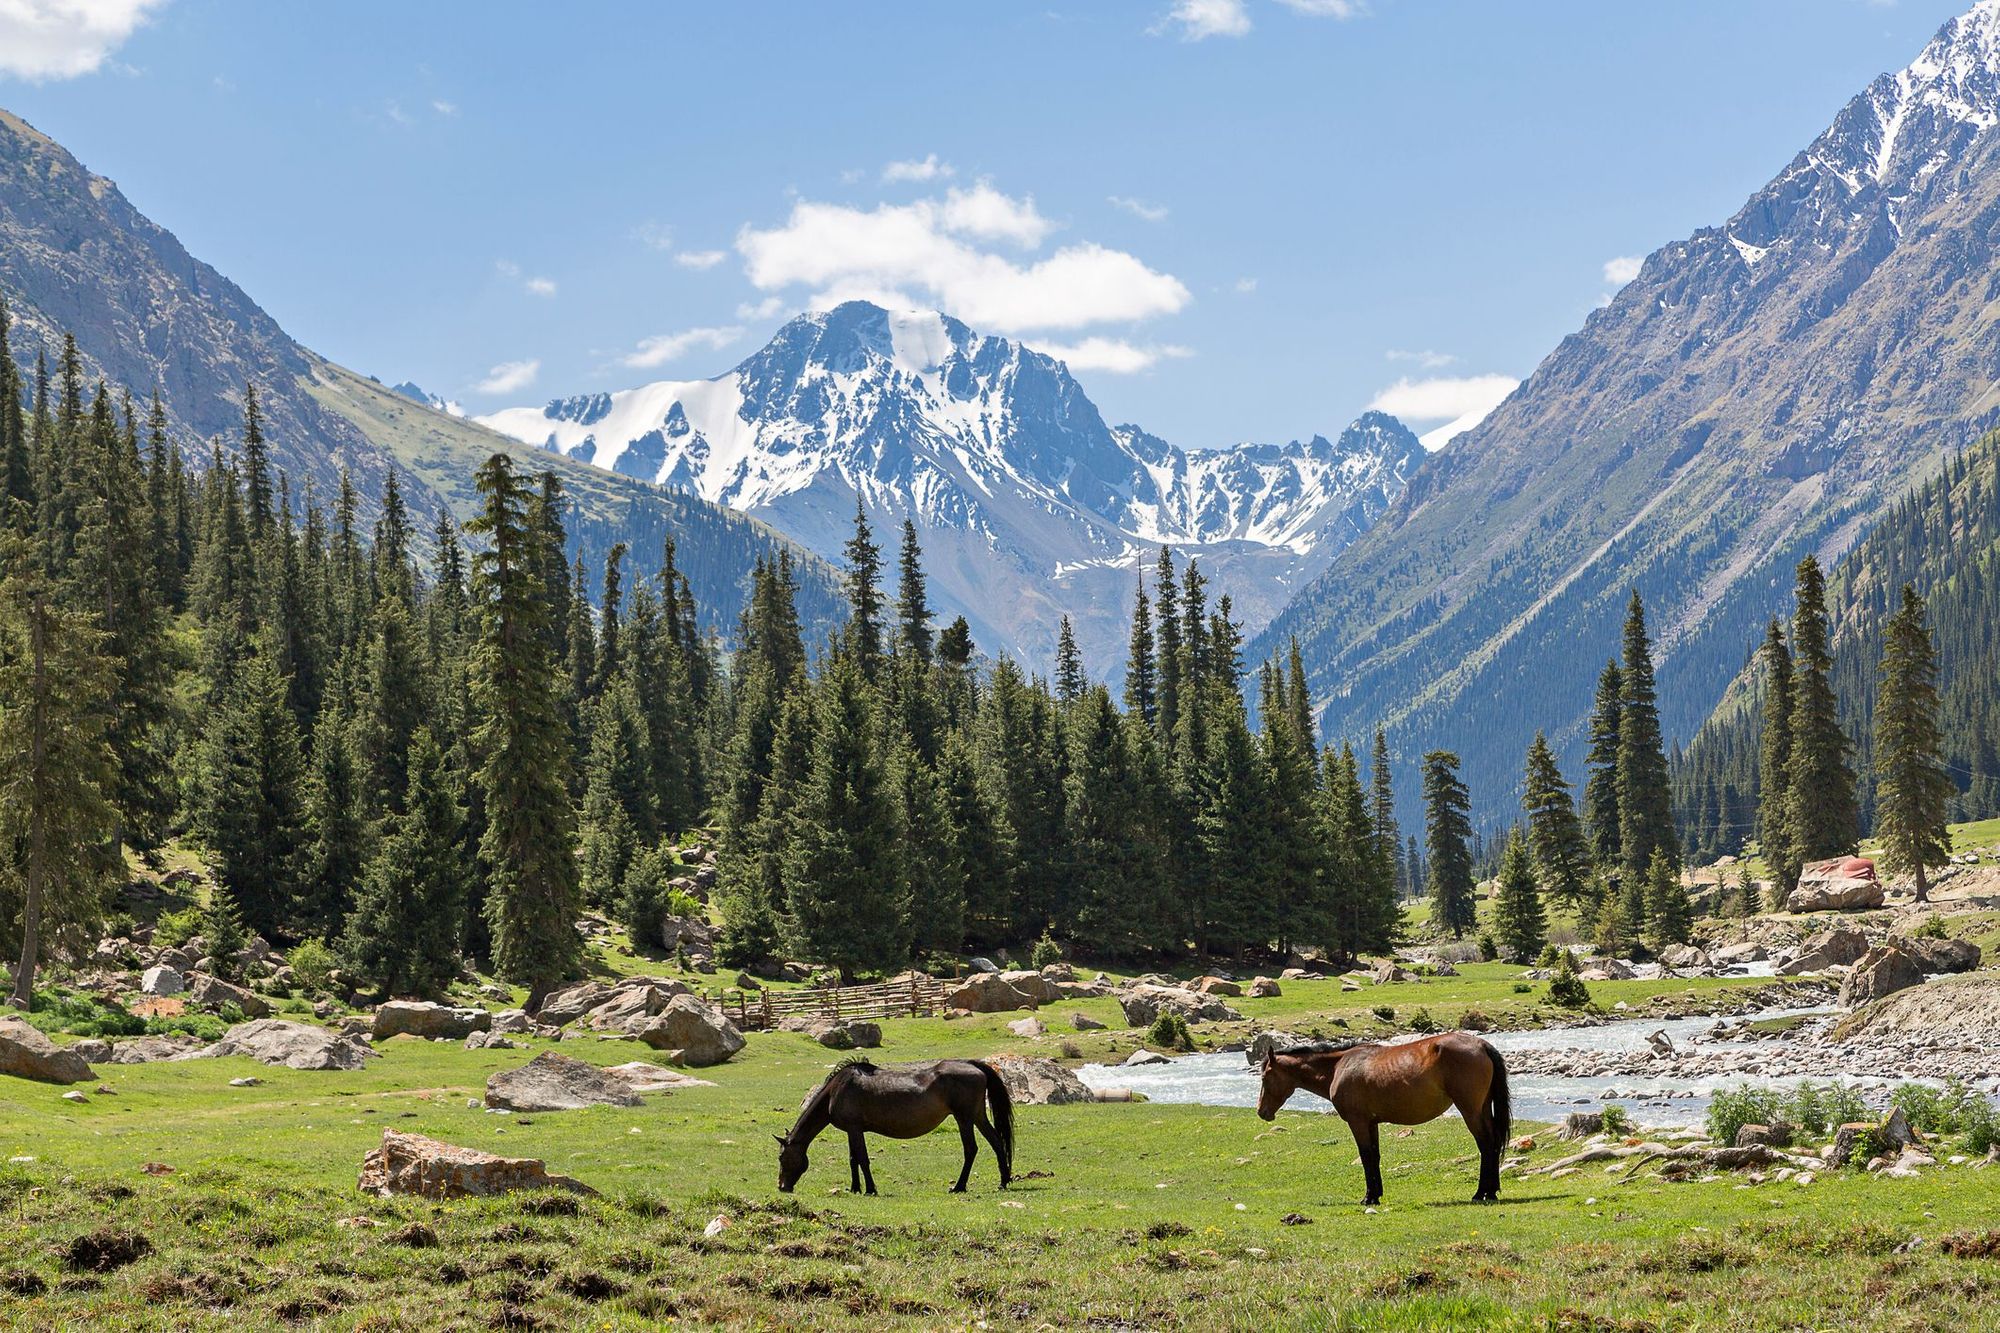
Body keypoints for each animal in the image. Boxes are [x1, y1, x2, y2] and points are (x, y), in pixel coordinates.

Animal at [768, 1056, 1008, 1192]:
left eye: (781, 1157)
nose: (782, 1187)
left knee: (971, 1149)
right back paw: (1004, 1181)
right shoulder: (852, 1131)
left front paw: (870, 1189)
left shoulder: (855, 1129)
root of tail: (974, 1066)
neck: (835, 1091)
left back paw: (959, 1187)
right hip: (978, 1116)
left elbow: (862, 1159)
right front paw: (855, 1188)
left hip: (964, 1119)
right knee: (997, 1142)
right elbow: (853, 1159)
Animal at [1256, 1024, 1504, 1200]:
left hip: (1470, 1111)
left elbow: (1366, 1156)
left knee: (1486, 1144)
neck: (1339, 1067)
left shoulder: (1357, 1122)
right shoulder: (1371, 1123)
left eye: (1265, 1077)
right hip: (1482, 1109)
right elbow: (1374, 1156)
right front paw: (1376, 1193)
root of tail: (1481, 1045)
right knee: (1493, 1143)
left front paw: (1369, 1198)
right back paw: (1491, 1191)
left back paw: (1481, 1193)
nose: (1261, 1111)